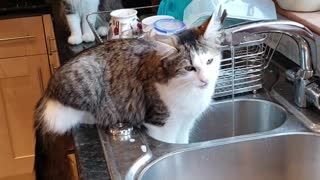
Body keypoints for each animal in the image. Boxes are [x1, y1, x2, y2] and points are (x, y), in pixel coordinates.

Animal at [33, 17, 222, 180]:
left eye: (209, 61)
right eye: (189, 68)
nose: (205, 80)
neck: (192, 94)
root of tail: (48, 89)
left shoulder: (186, 124)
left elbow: (182, 141)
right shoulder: (161, 125)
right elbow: (168, 141)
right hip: (87, 80)